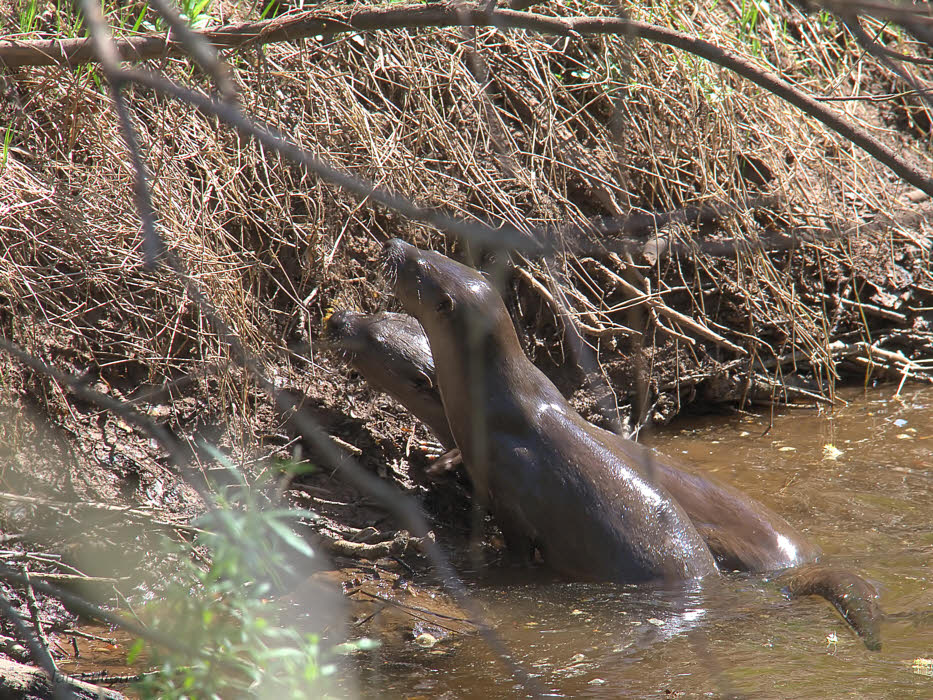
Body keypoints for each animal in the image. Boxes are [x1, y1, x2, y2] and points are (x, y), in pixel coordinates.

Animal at [378, 238, 712, 584]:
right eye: (432, 252)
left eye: (418, 266)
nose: (392, 243)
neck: (492, 403)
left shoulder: (508, 496)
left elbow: (519, 544)